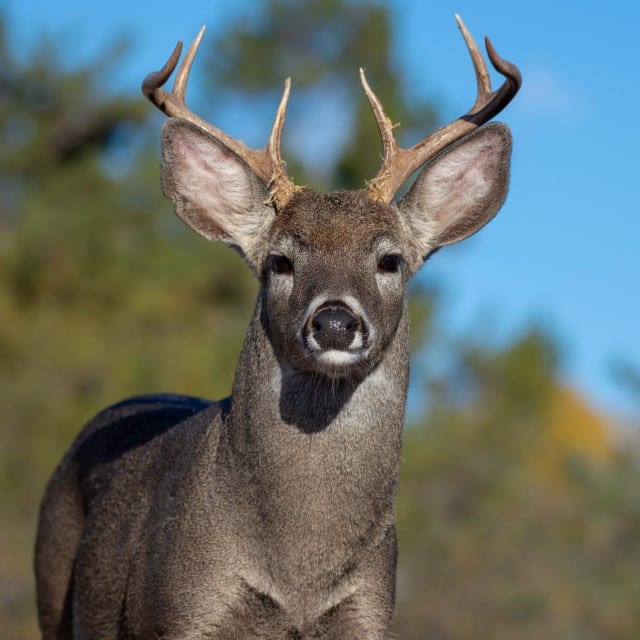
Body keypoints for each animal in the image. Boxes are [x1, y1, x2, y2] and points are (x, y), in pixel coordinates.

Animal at [33, 15, 520, 640]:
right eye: (281, 261)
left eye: (389, 260)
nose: (335, 321)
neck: (300, 580)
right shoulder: (180, 609)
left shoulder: (367, 613)